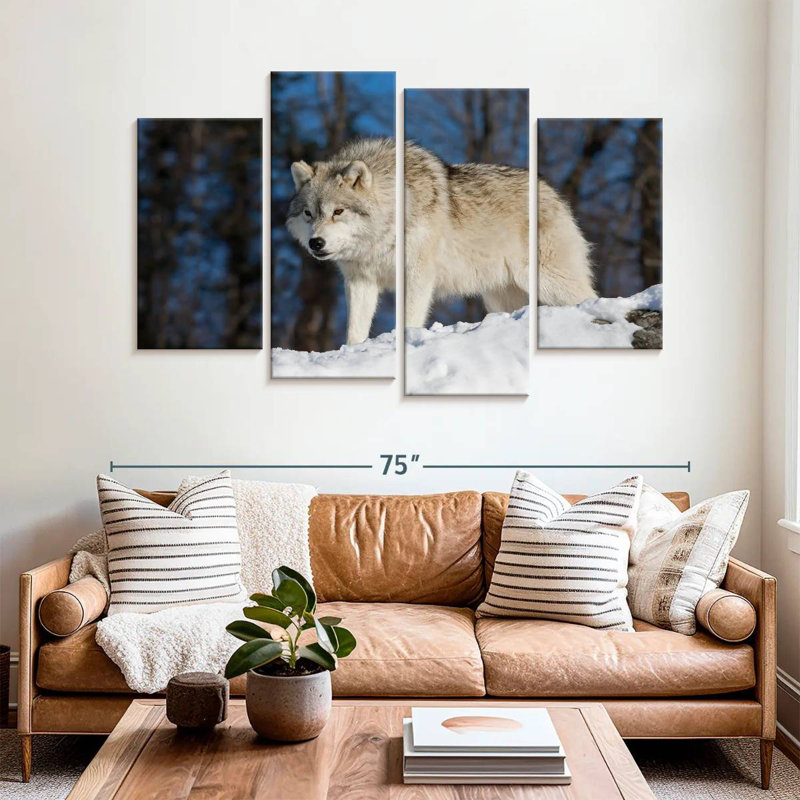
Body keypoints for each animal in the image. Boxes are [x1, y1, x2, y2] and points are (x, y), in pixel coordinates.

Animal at [287, 138, 595, 345]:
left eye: (338, 212)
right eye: (308, 213)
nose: (316, 243)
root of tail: (553, 193)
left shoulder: (417, 274)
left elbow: (410, 317)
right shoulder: (360, 280)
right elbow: (355, 330)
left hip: (549, 281)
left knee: (589, 297)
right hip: (500, 296)